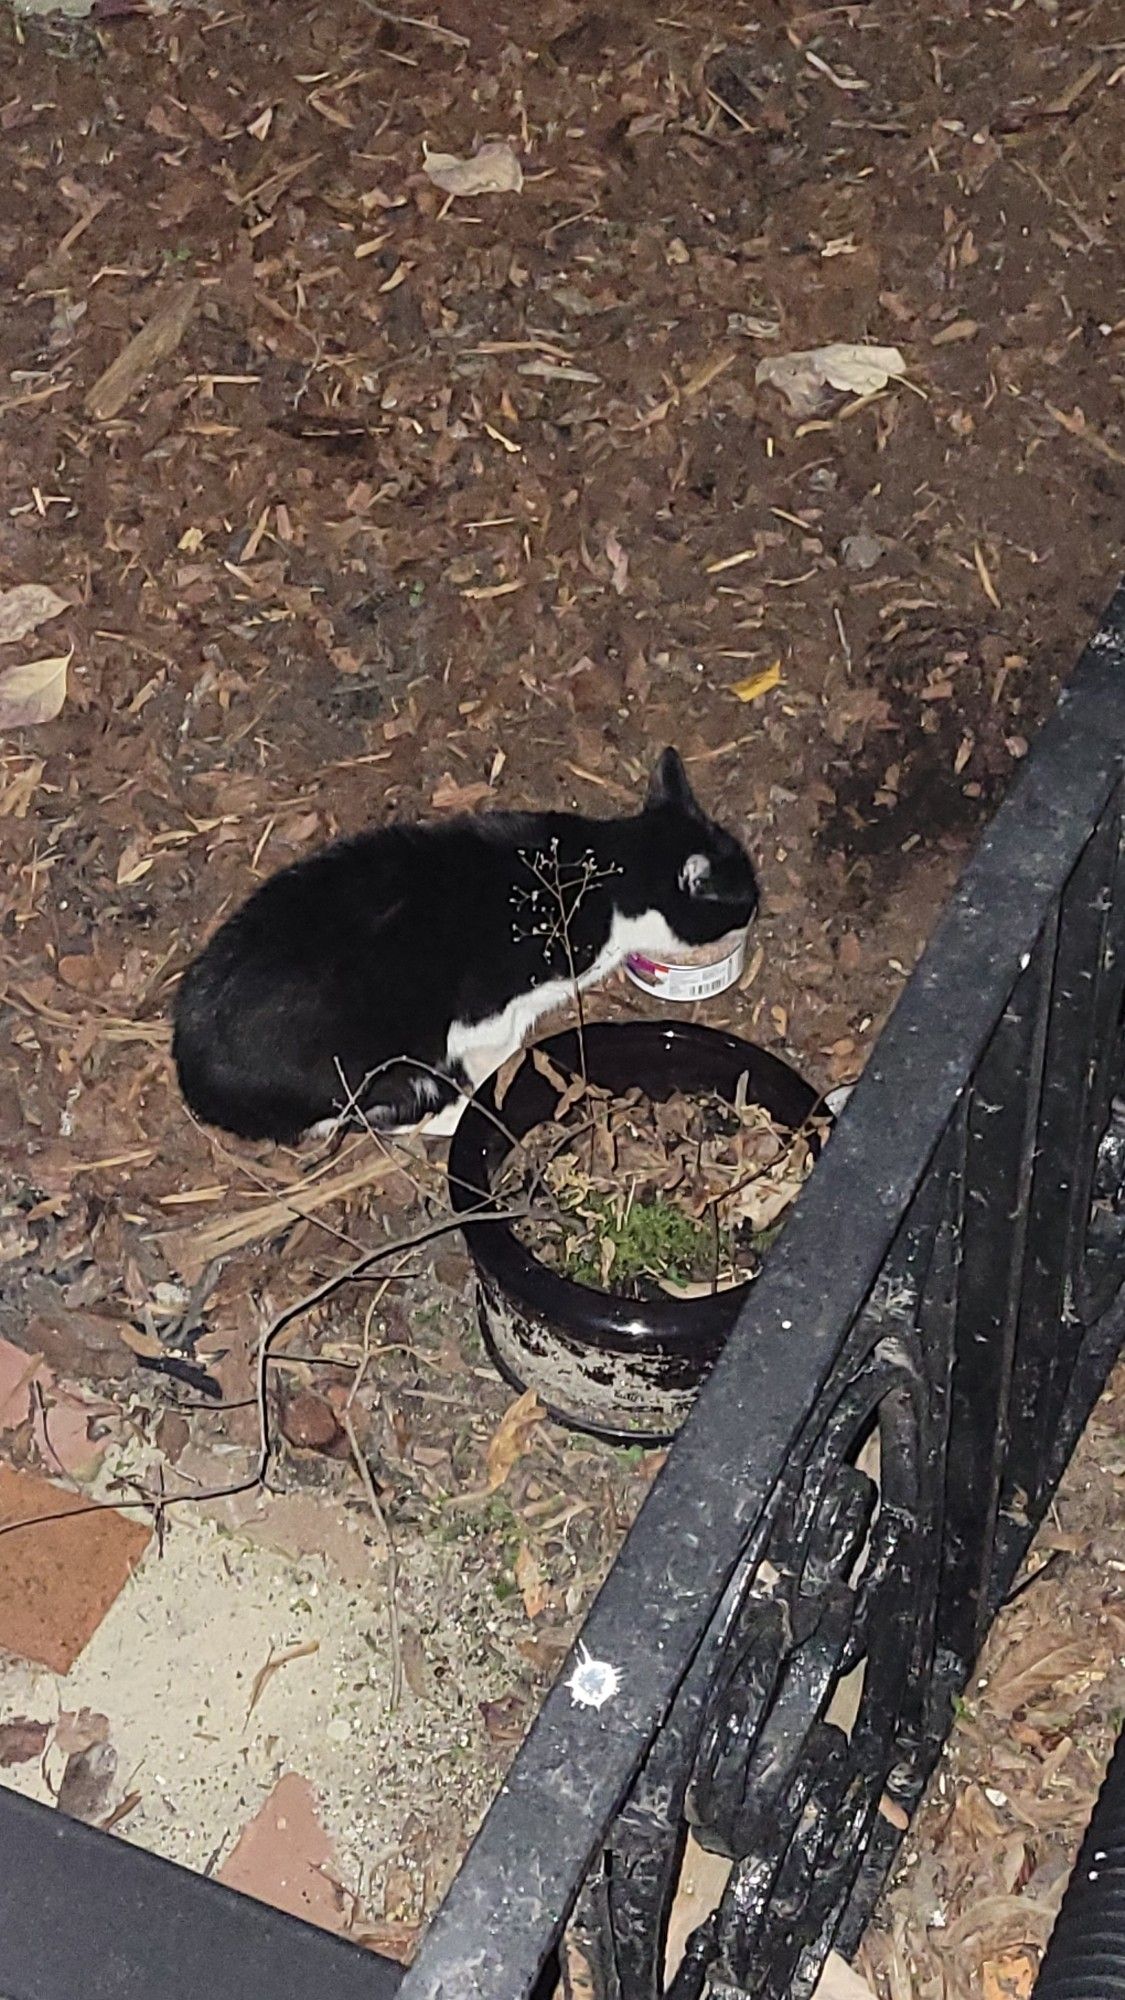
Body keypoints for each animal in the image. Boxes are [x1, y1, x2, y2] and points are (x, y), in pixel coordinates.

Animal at [173, 748, 752, 1144]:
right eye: (743, 900)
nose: (757, 909)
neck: (607, 873)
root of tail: (195, 1071)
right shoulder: (491, 1003)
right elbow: (498, 1040)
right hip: (372, 1059)